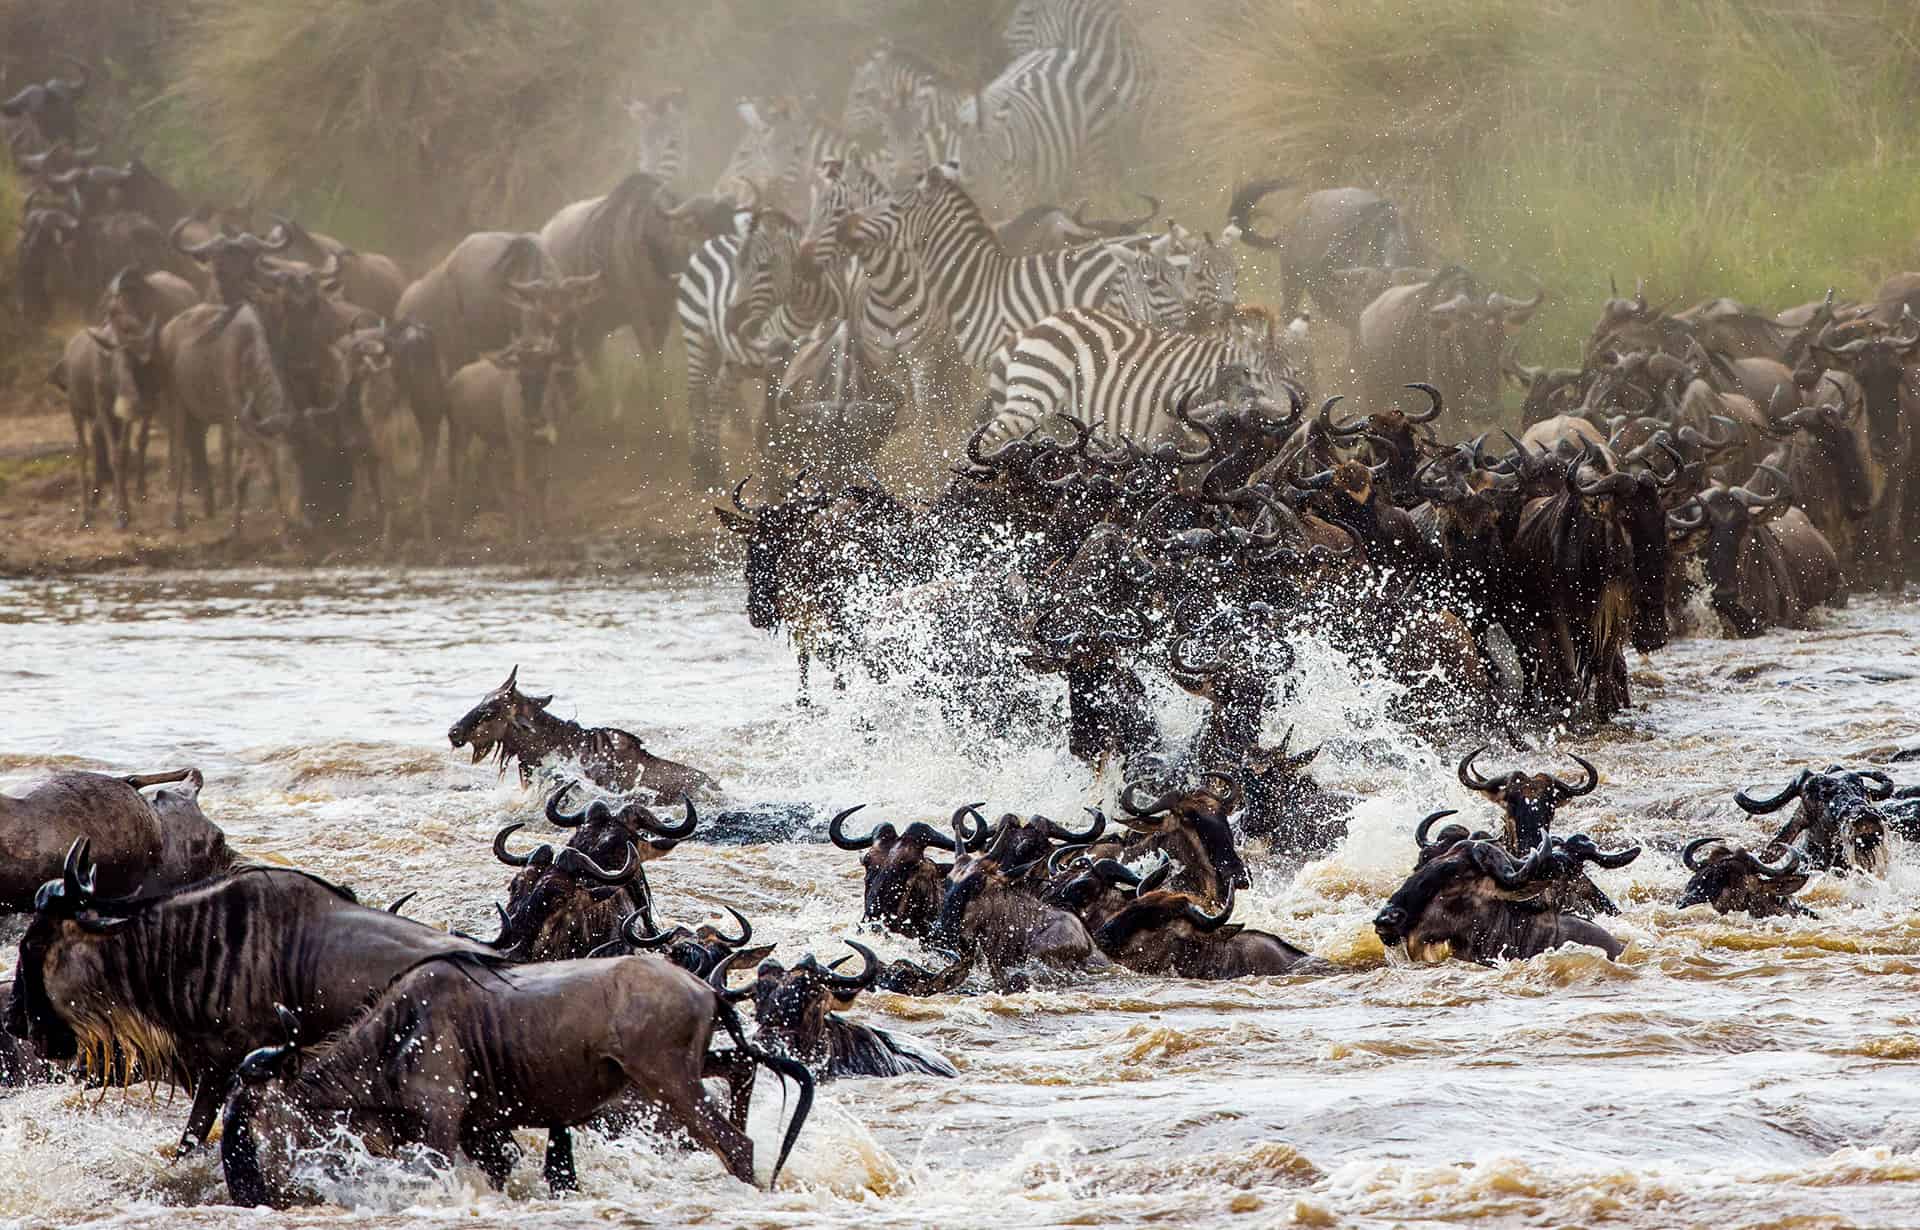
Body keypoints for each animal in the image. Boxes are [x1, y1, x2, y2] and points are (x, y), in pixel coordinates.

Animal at [983, 303, 1313, 445]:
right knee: (989, 440)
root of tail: (1034, 327)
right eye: (1252, 374)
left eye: (1296, 373)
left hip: (1057, 423)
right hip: (1033, 395)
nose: (1284, 416)